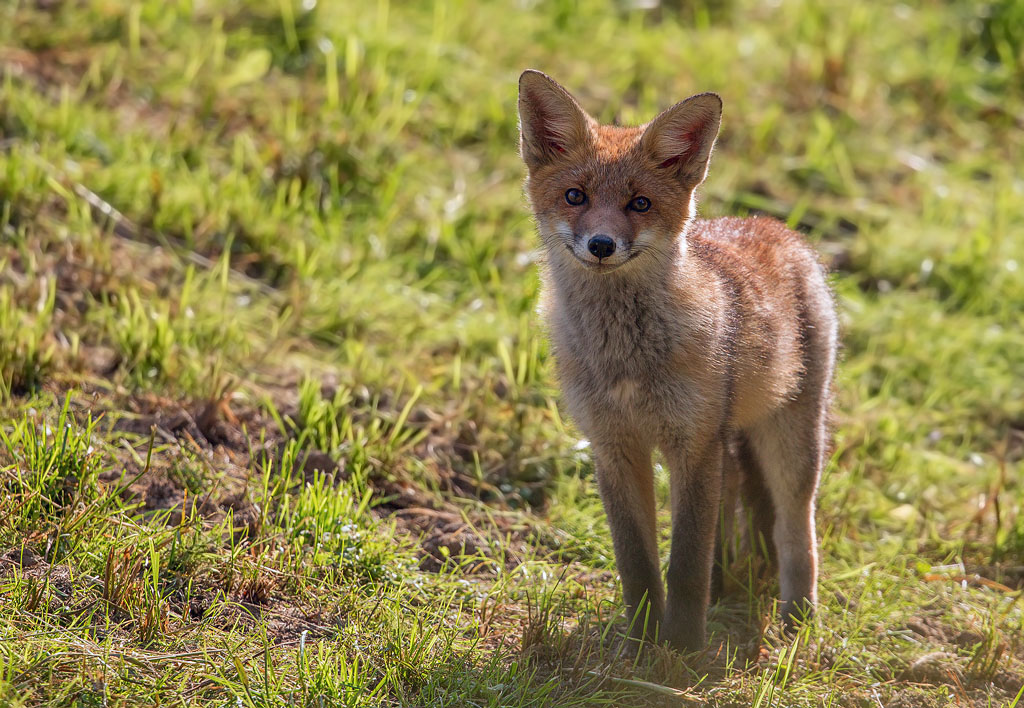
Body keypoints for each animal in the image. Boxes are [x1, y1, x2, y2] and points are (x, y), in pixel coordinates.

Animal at [516, 70, 838, 653]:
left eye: (639, 204)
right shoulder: (614, 446)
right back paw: (726, 587)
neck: (625, 359)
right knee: (734, 509)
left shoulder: (692, 444)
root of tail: (771, 225)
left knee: (795, 527)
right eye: (575, 196)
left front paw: (683, 649)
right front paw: (643, 642)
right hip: (728, 442)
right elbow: (638, 563)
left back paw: (797, 620)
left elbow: (686, 562)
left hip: (790, 439)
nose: (601, 245)